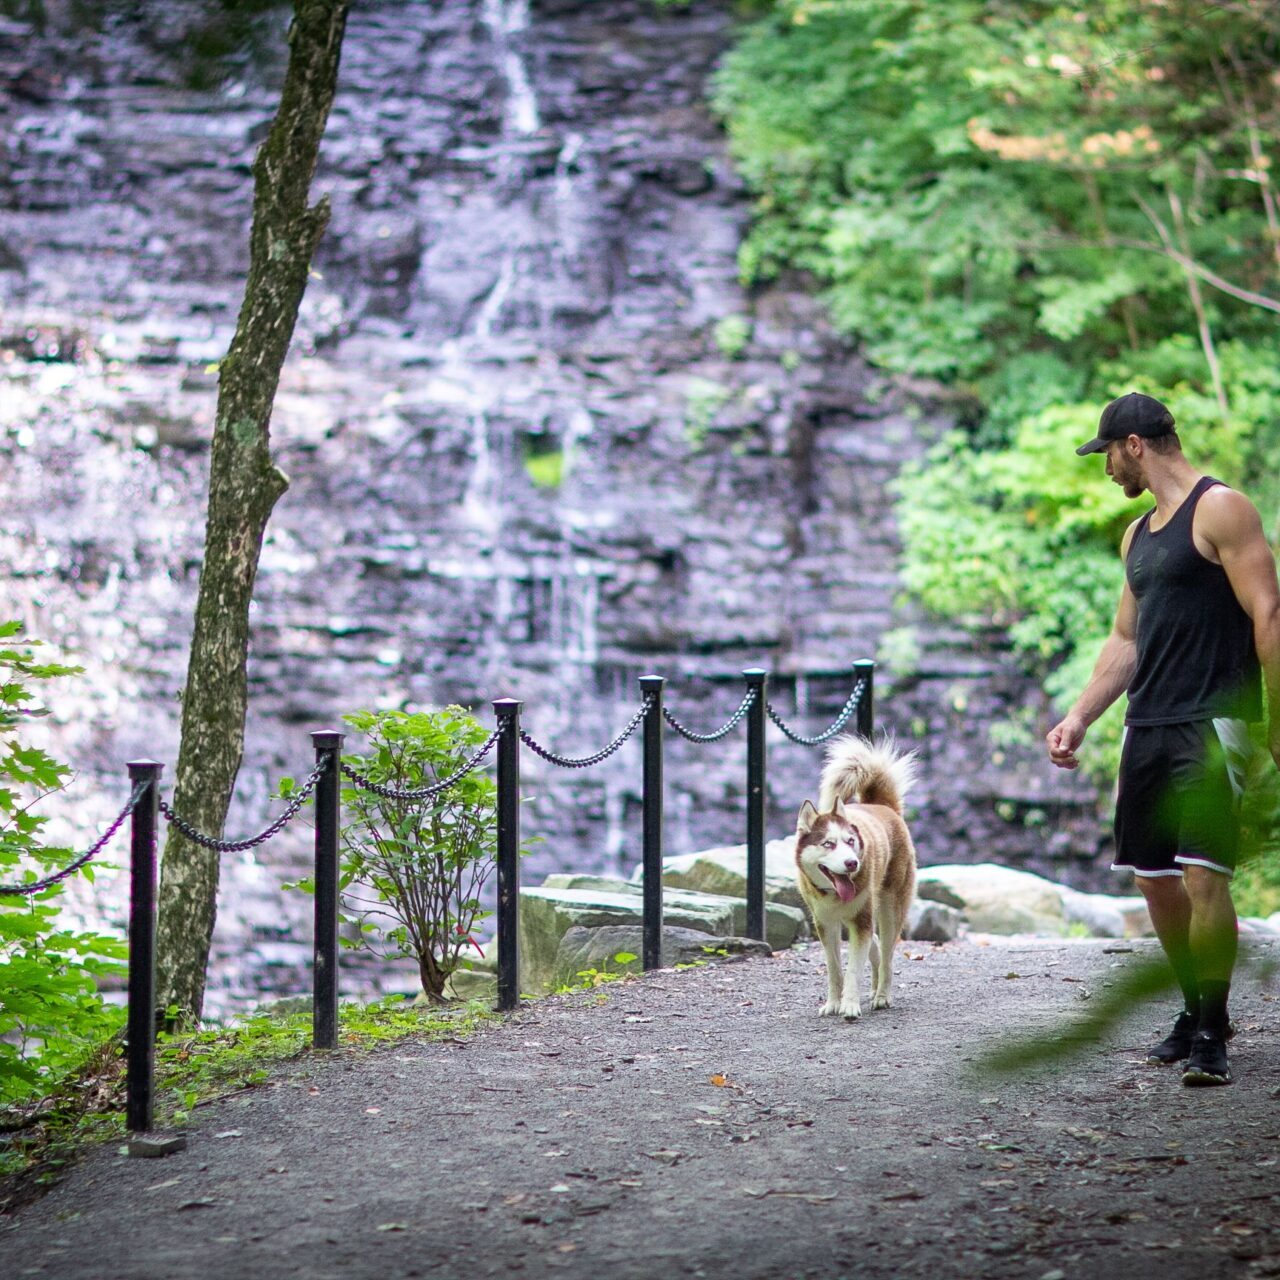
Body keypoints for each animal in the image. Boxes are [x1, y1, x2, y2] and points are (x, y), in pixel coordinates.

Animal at [793, 737, 916, 1013]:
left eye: (850, 841)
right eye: (828, 844)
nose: (852, 863)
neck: (834, 896)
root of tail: (882, 805)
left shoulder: (860, 922)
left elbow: (852, 971)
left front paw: (849, 1006)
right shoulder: (825, 924)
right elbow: (834, 970)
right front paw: (833, 1003)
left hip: (889, 910)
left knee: (887, 956)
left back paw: (882, 995)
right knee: (876, 947)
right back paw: (873, 989)